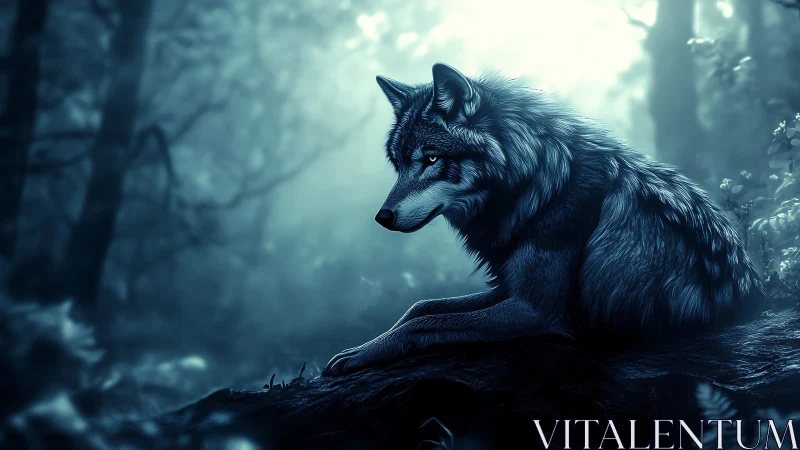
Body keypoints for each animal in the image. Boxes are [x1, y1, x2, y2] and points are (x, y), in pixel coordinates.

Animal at [323, 62, 764, 376]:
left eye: (431, 159)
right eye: (398, 164)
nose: (382, 217)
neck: (539, 184)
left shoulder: (533, 310)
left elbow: (422, 324)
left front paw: (359, 354)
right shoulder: (507, 286)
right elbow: (421, 307)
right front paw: (364, 345)